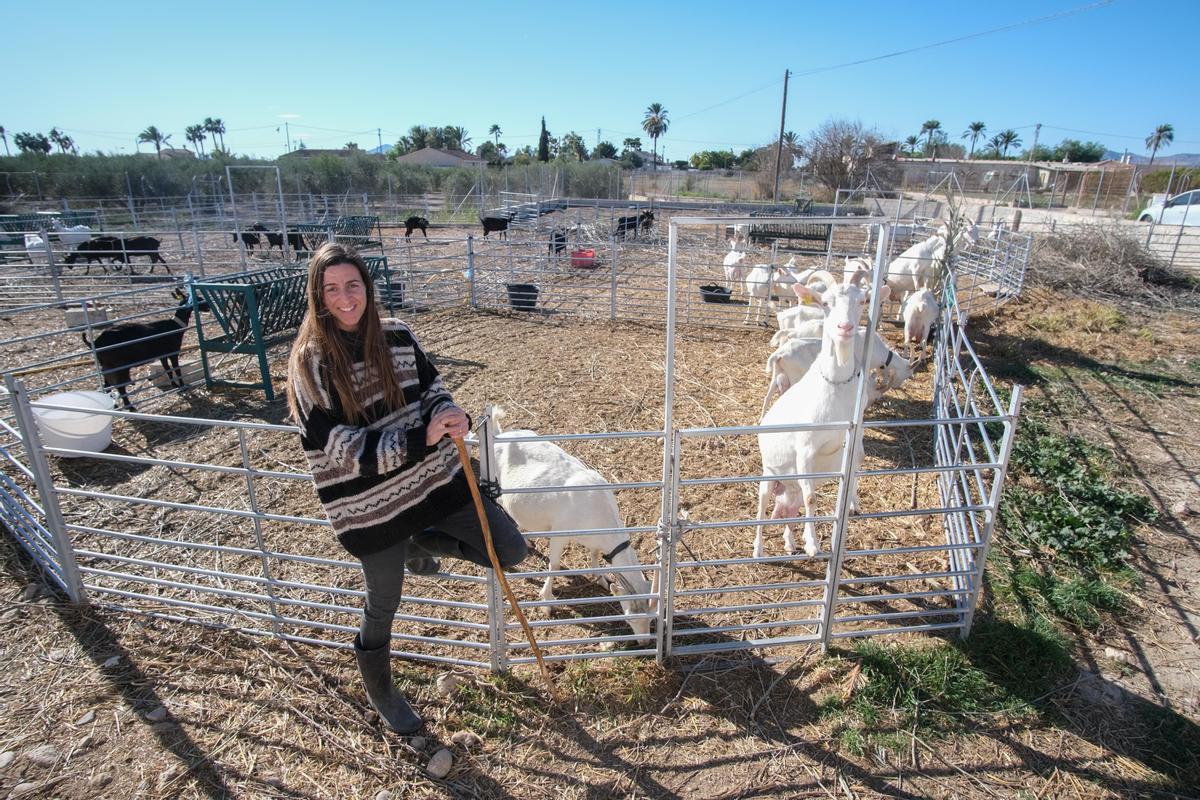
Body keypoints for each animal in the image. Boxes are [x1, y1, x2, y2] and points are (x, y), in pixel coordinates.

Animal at [482, 407, 652, 642]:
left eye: (652, 616)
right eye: (630, 617)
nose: (644, 640)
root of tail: (499, 435)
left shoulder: (594, 539)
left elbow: (594, 556)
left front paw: (602, 579)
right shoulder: (560, 532)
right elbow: (553, 565)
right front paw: (546, 601)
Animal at [753, 272, 888, 561]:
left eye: (863, 301)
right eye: (825, 302)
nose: (845, 327)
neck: (834, 387)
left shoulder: (854, 438)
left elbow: (853, 471)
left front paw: (851, 505)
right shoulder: (806, 448)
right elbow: (812, 498)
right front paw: (813, 544)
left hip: (790, 492)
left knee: (790, 511)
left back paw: (790, 542)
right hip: (769, 478)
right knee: (763, 507)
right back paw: (758, 549)